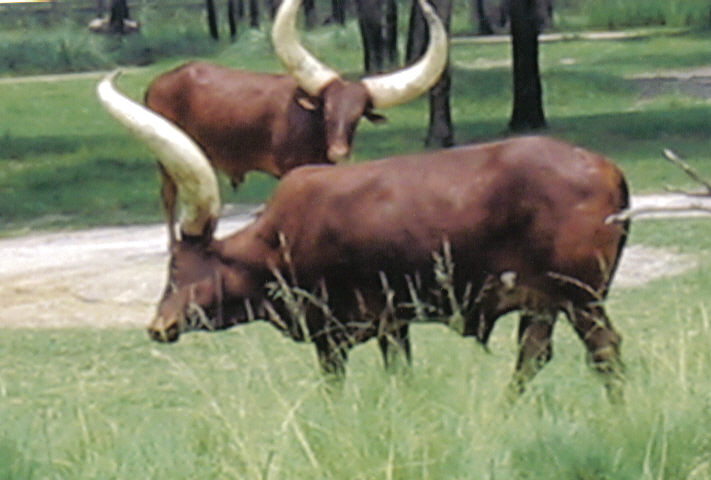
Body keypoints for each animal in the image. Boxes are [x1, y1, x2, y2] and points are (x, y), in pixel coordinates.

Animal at [98, 73, 630, 401]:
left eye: (177, 266)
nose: (159, 326)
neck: (276, 241)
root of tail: (608, 168)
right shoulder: (393, 324)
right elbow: (401, 374)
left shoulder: (334, 332)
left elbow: (335, 386)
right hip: (545, 302)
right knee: (533, 357)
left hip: (581, 297)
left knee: (604, 352)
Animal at [144, 0, 448, 244]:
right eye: (327, 111)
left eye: (356, 117)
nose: (339, 152)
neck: (312, 128)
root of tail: (160, 81)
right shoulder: (289, 167)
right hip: (165, 156)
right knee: (168, 197)